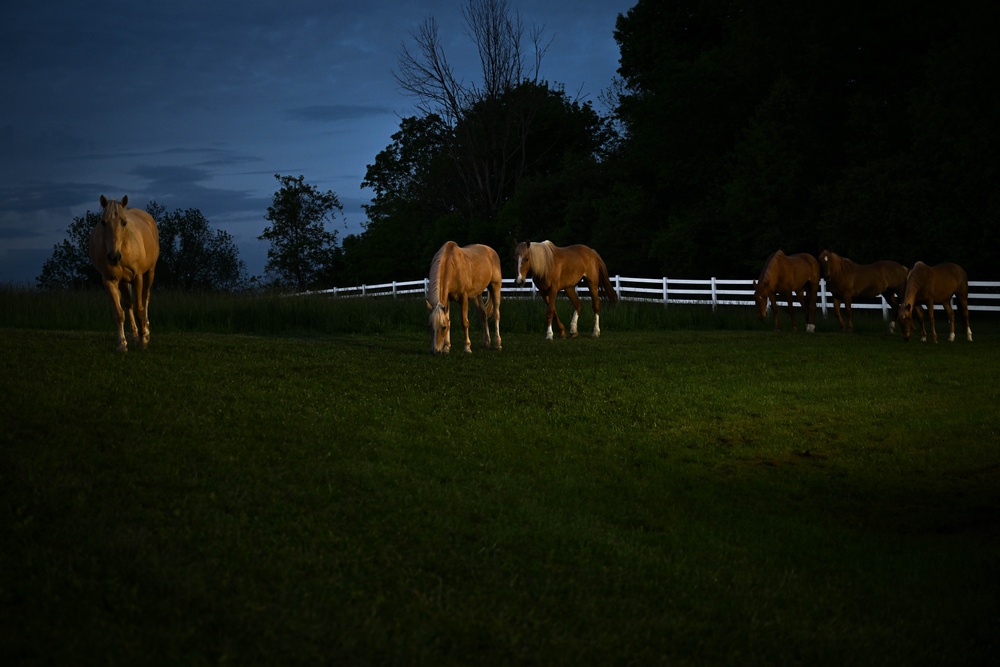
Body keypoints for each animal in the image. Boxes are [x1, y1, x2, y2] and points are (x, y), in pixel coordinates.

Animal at [89, 196, 158, 352]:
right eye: (103, 222)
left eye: (124, 222)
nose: (113, 257)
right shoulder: (110, 280)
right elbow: (119, 313)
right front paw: (122, 344)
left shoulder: (137, 277)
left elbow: (139, 308)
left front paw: (143, 340)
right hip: (123, 282)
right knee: (128, 304)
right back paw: (134, 334)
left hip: (150, 272)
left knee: (145, 298)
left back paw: (146, 331)